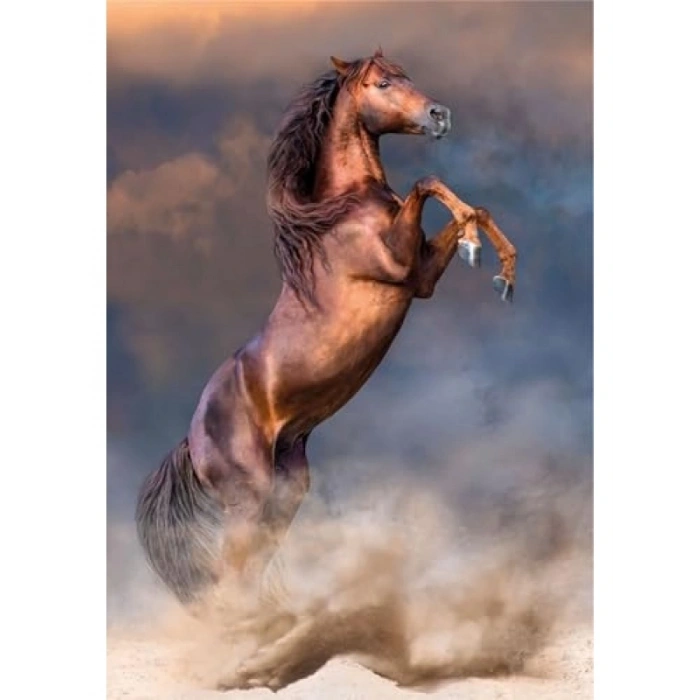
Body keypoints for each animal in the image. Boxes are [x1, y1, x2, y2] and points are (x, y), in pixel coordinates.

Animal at [135, 49, 517, 608]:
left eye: (407, 76)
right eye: (383, 83)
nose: (439, 116)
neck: (344, 211)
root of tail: (192, 438)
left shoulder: (422, 275)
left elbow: (471, 207)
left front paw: (502, 272)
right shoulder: (402, 265)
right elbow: (428, 182)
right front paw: (475, 249)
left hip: (284, 493)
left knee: (248, 573)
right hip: (248, 499)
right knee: (230, 577)